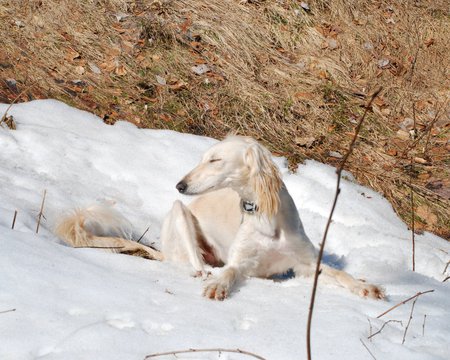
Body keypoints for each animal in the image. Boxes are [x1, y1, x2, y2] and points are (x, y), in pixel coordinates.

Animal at [159, 136, 384, 300]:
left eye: (214, 160)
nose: (180, 185)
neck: (266, 220)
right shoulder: (241, 262)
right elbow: (229, 272)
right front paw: (217, 285)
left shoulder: (305, 265)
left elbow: (339, 273)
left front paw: (363, 286)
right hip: (179, 211)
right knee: (197, 263)